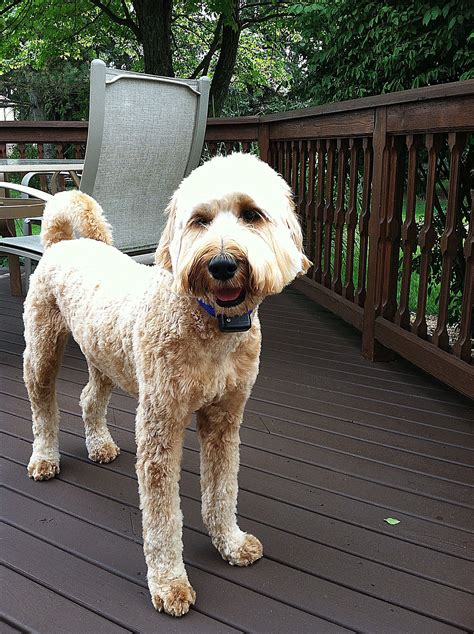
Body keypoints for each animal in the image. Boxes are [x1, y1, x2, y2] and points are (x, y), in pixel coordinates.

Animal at [23, 151, 312, 616]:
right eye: (200, 220)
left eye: (252, 214)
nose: (222, 264)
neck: (211, 325)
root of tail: (61, 242)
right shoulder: (160, 423)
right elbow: (163, 517)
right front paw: (169, 583)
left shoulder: (224, 419)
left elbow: (221, 490)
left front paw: (229, 543)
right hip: (43, 349)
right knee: (43, 408)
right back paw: (45, 458)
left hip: (106, 356)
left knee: (88, 398)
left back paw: (99, 444)